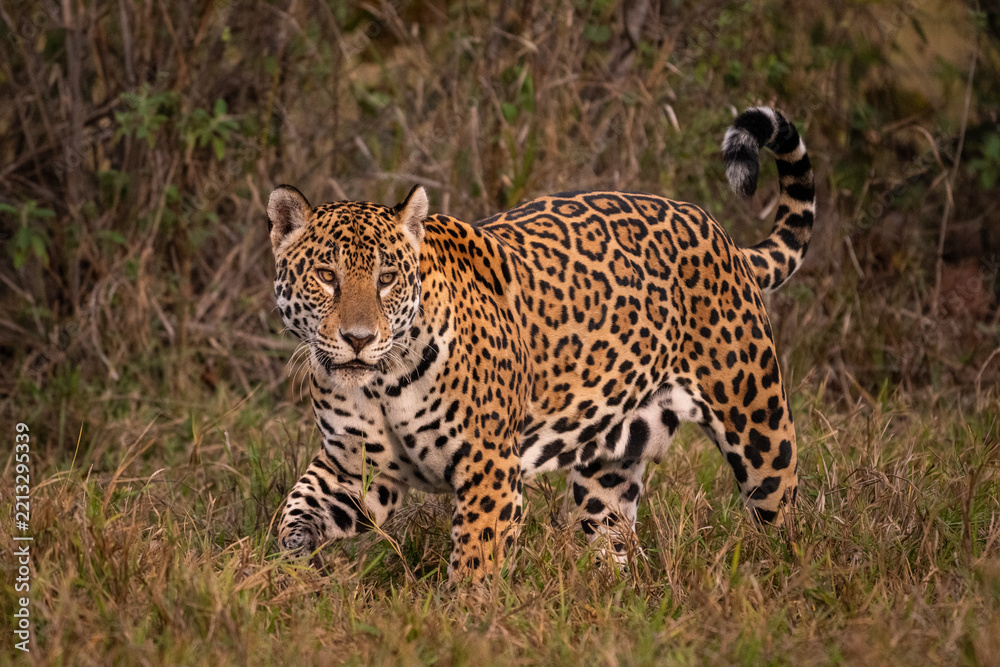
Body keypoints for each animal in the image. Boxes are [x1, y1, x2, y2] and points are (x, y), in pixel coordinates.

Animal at [267, 106, 815, 582]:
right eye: (326, 276)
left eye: (385, 279)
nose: (358, 340)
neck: (381, 382)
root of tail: (722, 235)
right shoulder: (355, 470)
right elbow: (296, 509)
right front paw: (288, 572)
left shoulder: (489, 468)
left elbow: (475, 562)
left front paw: (463, 619)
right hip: (610, 469)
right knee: (616, 542)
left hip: (758, 425)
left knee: (786, 518)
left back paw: (788, 578)